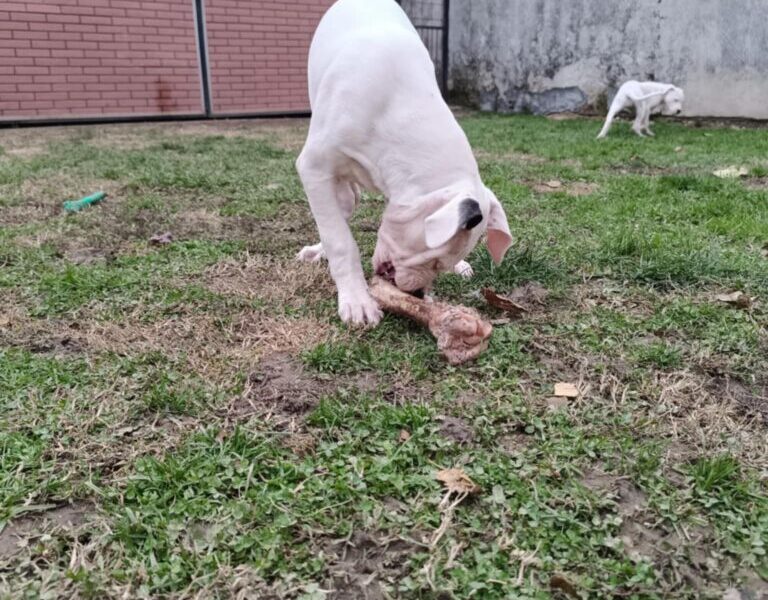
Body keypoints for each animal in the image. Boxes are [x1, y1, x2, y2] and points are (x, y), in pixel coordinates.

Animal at [296, 0, 512, 328]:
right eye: (434, 260)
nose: (419, 295)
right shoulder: (313, 167)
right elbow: (340, 241)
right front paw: (357, 301)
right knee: (339, 211)